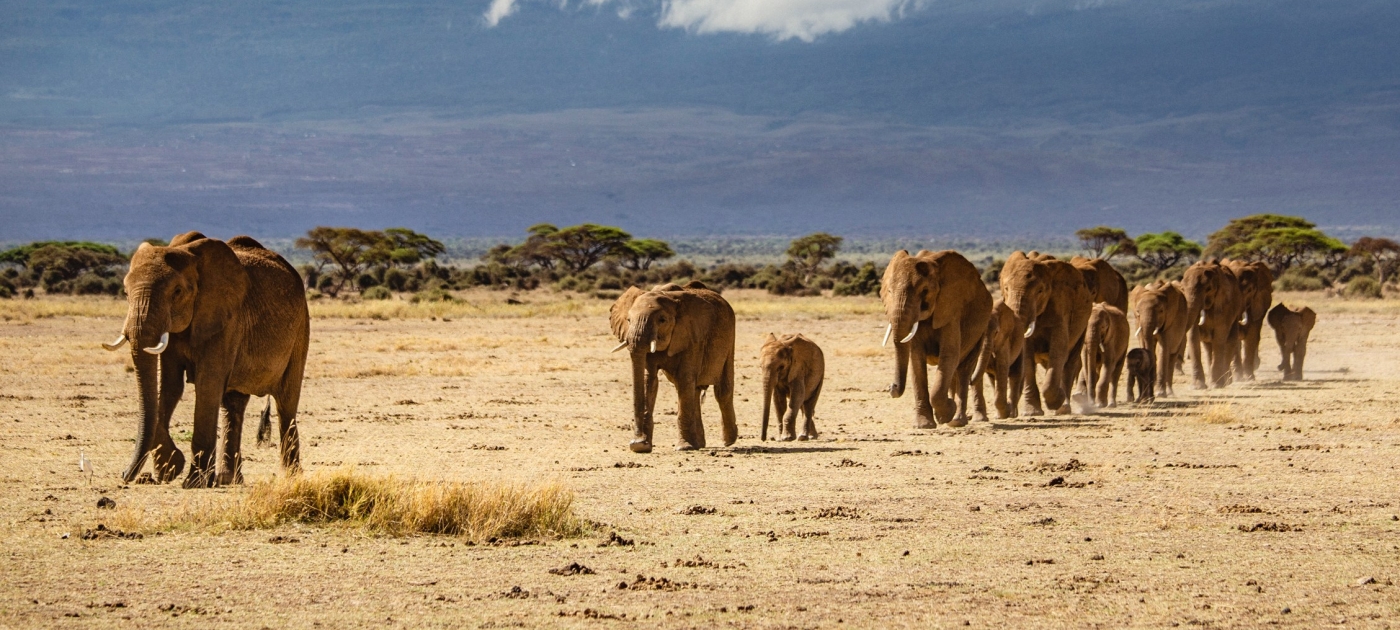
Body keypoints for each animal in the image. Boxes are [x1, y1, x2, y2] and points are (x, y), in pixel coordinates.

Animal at [102, 233, 309, 490]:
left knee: (286, 403)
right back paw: (227, 480)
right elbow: (171, 386)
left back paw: (290, 477)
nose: (125, 475)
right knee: (234, 404)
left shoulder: (226, 319)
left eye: (177, 292)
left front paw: (191, 481)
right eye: (125, 293)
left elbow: (207, 384)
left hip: (300, 330)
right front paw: (170, 469)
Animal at [607, 281, 739, 453]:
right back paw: (699, 444)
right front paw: (643, 446)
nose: (636, 443)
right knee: (694, 390)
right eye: (628, 320)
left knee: (722, 391)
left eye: (662, 320)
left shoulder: (692, 336)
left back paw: (728, 441)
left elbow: (684, 379)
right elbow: (649, 379)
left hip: (730, 339)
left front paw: (683, 448)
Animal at [879, 249, 991, 428]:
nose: (891, 387)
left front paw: (947, 413)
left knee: (963, 369)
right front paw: (924, 425)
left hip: (980, 332)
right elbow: (916, 360)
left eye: (924, 291)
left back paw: (957, 421)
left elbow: (949, 355)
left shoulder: (951, 311)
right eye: (889, 292)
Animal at [1002, 250, 1097, 417]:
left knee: (1070, 361)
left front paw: (1056, 402)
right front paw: (1032, 413)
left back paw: (1064, 407)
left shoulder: (1061, 305)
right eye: (1006, 288)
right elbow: (1027, 355)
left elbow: (1059, 347)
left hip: (1084, 324)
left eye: (1040, 291)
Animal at [1181, 259, 1248, 389]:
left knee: (1230, 341)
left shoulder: (1224, 304)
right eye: (1182, 289)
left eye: (1208, 289)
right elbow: (1193, 337)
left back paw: (1225, 381)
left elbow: (1219, 337)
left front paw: (1216, 385)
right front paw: (1198, 387)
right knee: (1208, 346)